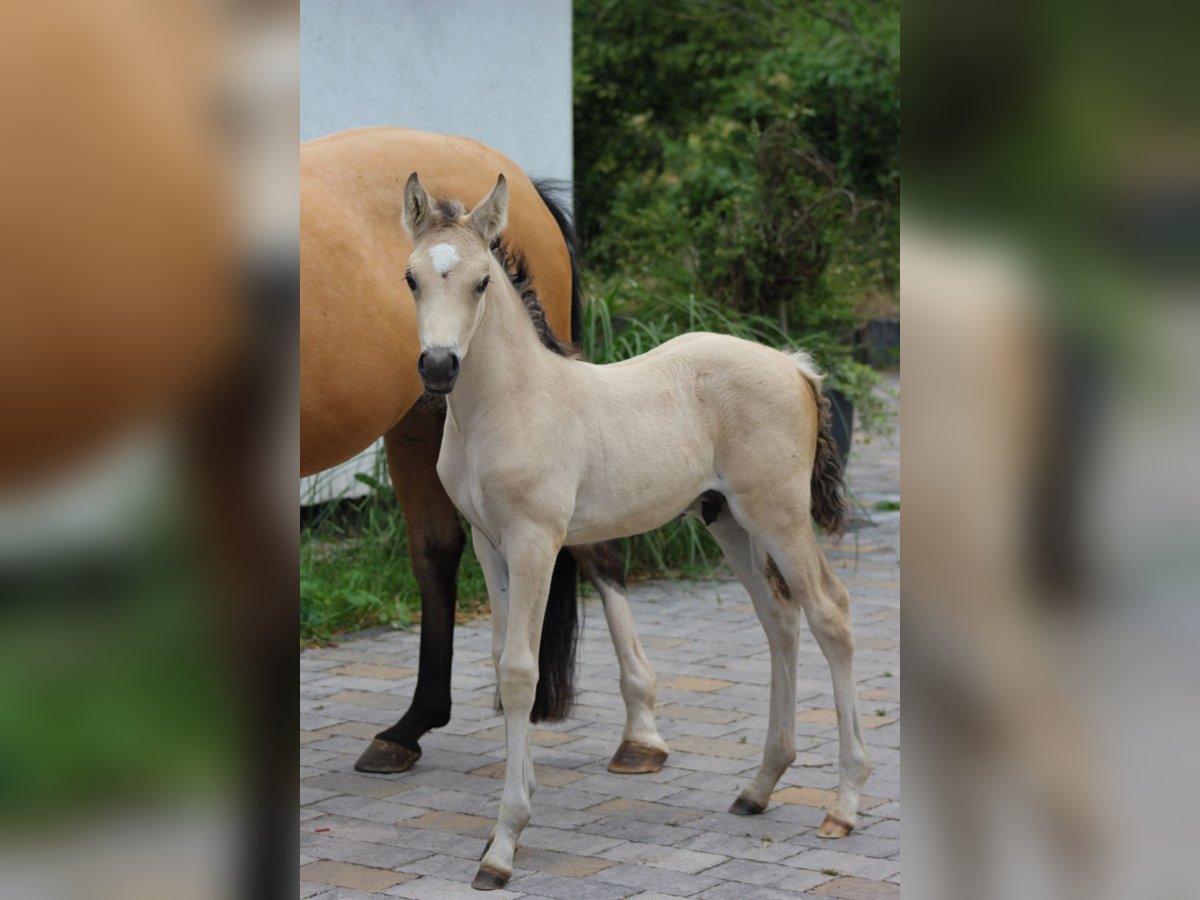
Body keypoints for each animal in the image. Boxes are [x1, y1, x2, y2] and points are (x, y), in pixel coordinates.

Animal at [298, 127, 667, 777]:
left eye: (482, 282)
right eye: (408, 280)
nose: (439, 365)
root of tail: (526, 183)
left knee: (597, 554)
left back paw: (640, 736)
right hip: (418, 427)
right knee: (436, 554)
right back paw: (408, 729)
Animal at [403, 172, 873, 892]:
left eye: (481, 282)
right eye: (411, 279)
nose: (437, 367)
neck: (508, 403)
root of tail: (795, 365)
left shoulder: (536, 540)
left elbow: (520, 672)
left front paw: (504, 843)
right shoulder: (489, 542)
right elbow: (501, 663)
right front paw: (518, 806)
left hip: (780, 515)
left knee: (830, 614)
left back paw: (843, 807)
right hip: (727, 520)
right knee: (779, 620)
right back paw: (759, 786)